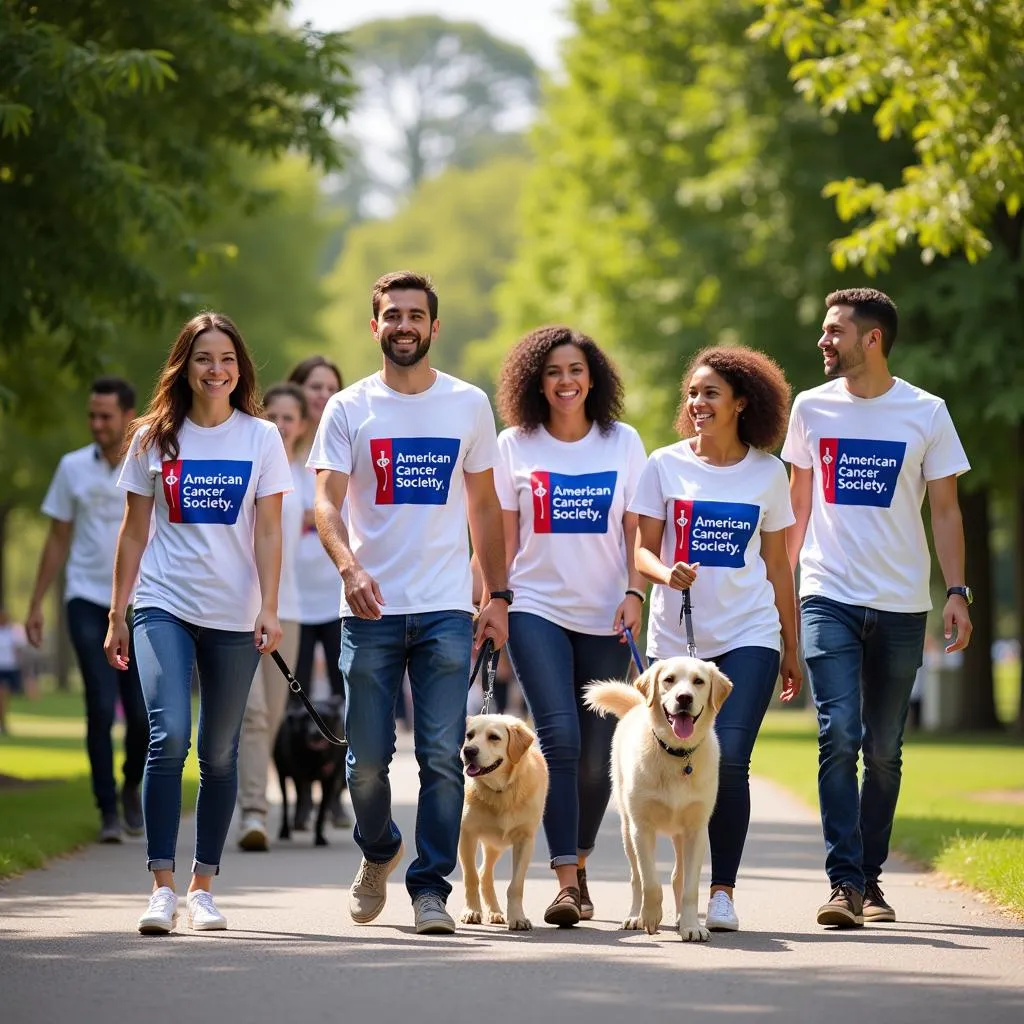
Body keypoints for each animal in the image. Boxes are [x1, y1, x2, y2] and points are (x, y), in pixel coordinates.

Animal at [272, 696, 348, 847]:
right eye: (304, 719)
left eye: (326, 717)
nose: (315, 734)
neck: (315, 758)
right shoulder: (299, 776)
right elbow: (301, 798)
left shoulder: (329, 780)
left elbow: (322, 811)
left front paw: (320, 837)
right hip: (282, 775)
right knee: (287, 803)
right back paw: (286, 829)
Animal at [458, 716, 548, 933]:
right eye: (469, 735)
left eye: (494, 737)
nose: (468, 751)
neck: (501, 791)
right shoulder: (467, 834)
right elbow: (470, 876)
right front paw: (472, 911)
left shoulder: (525, 840)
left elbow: (516, 885)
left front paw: (518, 917)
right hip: (492, 842)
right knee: (482, 873)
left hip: (497, 844)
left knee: (485, 873)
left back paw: (495, 912)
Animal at [585, 659, 729, 937]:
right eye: (669, 680)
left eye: (698, 681)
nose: (684, 698)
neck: (677, 753)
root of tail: (636, 706)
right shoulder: (642, 828)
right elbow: (649, 880)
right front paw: (650, 917)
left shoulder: (697, 831)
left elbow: (691, 887)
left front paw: (692, 926)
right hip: (627, 829)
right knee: (636, 878)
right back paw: (634, 915)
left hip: (680, 837)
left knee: (678, 877)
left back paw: (682, 919)